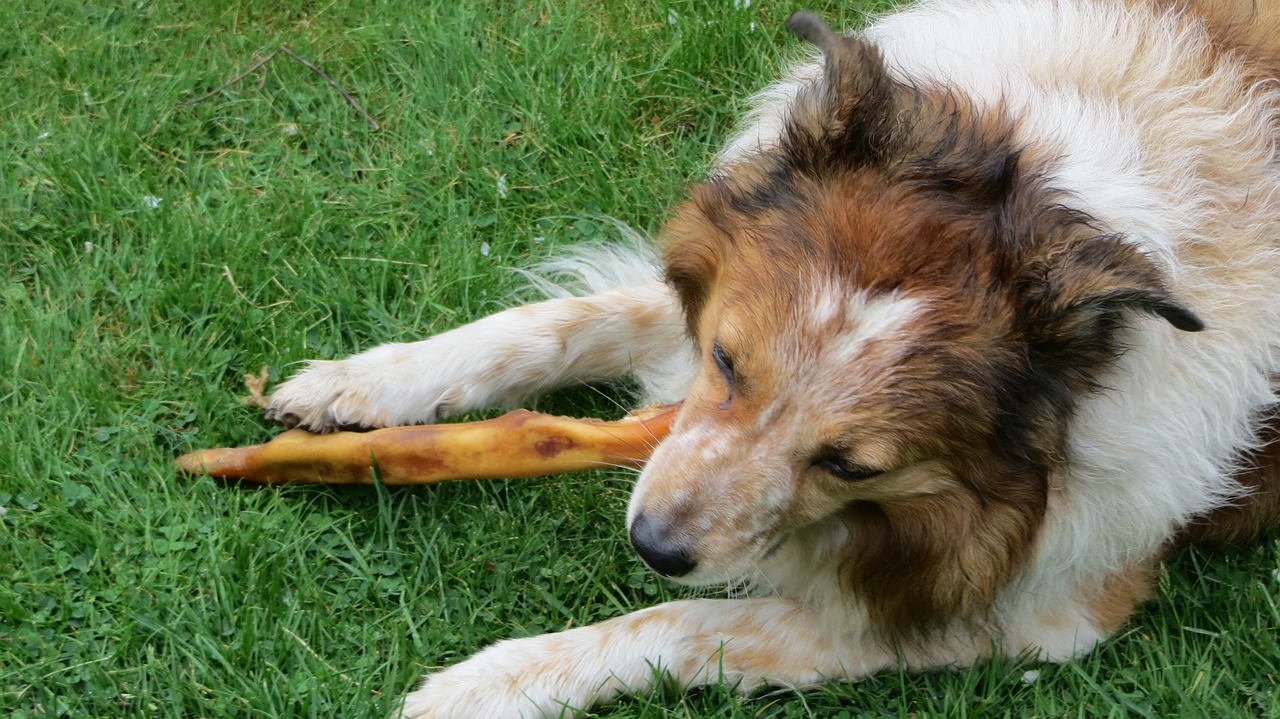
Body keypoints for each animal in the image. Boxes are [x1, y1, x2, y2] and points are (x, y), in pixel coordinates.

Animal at [257, 2, 1280, 711]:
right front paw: (356, 385)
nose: (653, 544)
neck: (1055, 184)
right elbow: (550, 322)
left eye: (851, 465)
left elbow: (687, 622)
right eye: (725, 362)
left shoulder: (1038, 607)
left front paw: (490, 683)